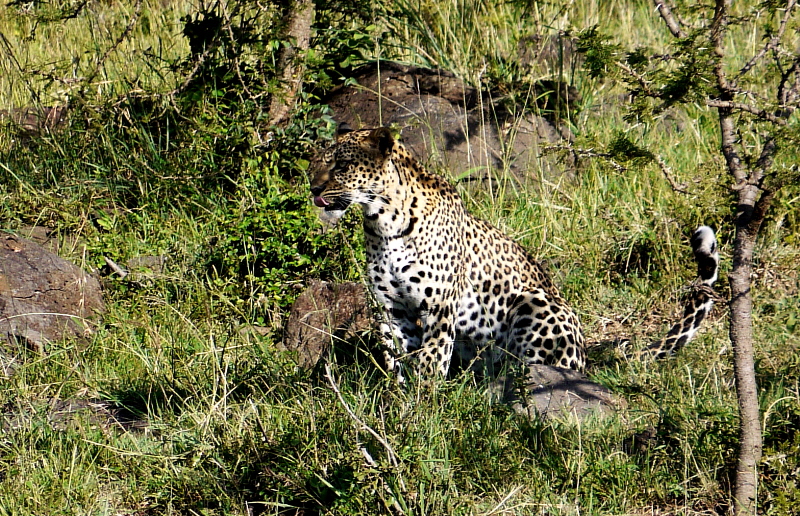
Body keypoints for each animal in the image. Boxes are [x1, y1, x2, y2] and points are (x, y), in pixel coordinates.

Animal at [310, 126, 720, 378]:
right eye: (315, 164)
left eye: (342, 165)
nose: (313, 188)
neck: (384, 223)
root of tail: (585, 357)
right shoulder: (391, 308)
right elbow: (397, 360)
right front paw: (398, 406)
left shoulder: (439, 308)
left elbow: (430, 361)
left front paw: (424, 409)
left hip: (536, 304)